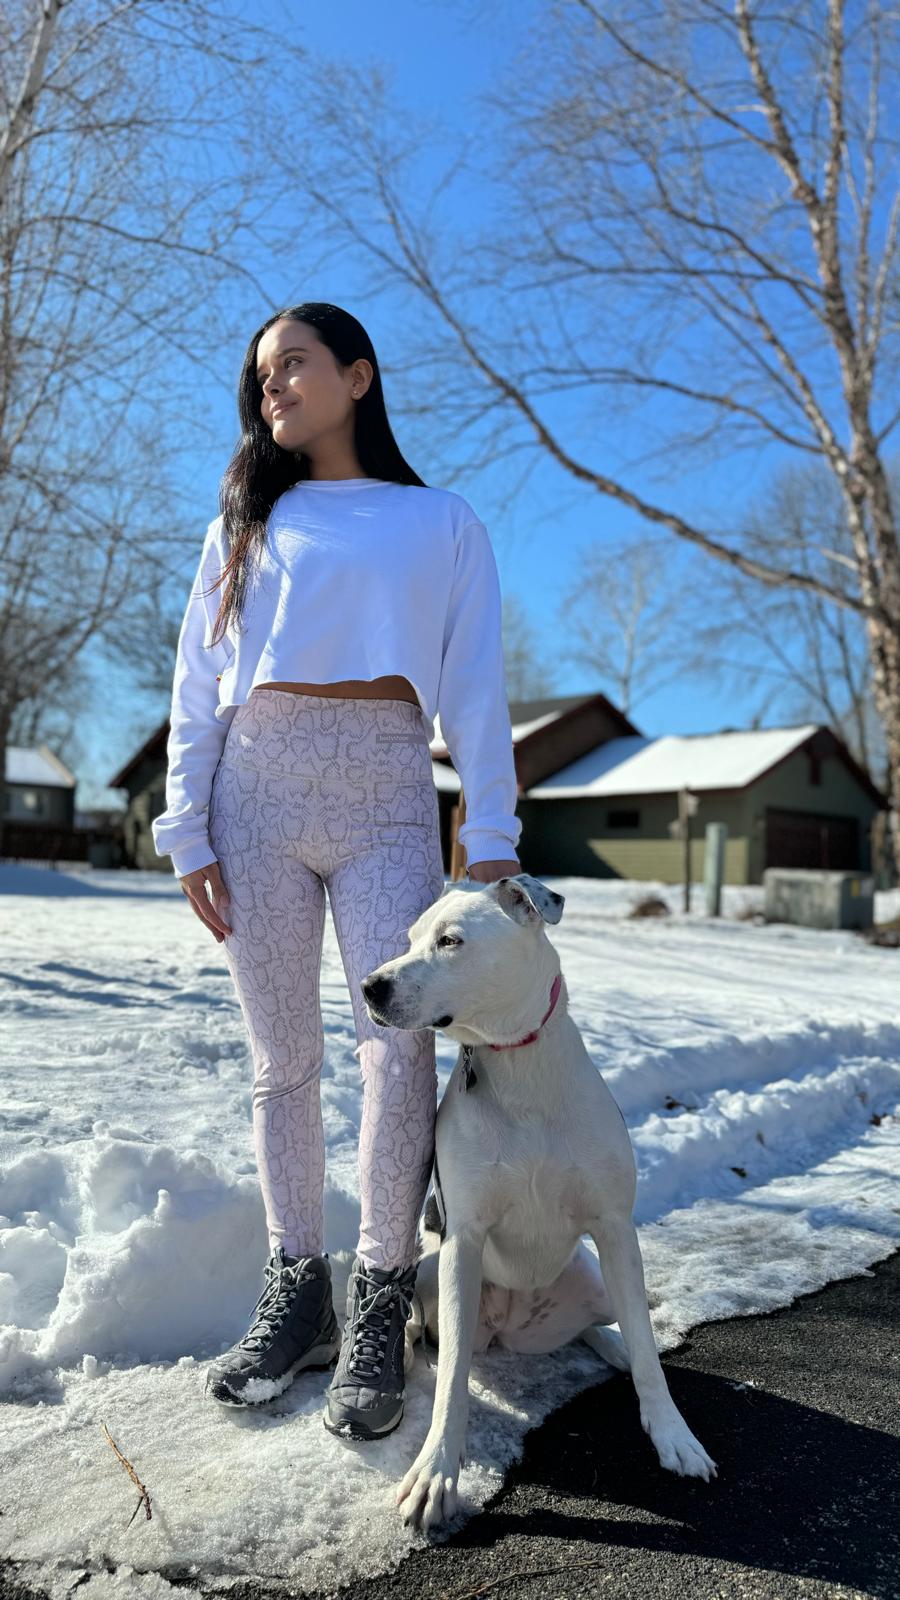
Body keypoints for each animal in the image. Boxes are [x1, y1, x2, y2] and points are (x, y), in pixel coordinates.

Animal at [360, 872, 718, 1532]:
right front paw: (435, 1474)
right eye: (410, 937)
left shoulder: (615, 1228)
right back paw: (410, 1345)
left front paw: (673, 1434)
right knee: (427, 1325)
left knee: (612, 1321)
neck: (517, 1063)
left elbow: (647, 1352)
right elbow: (452, 1380)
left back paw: (616, 1347)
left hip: (592, 1277)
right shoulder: (463, 1241)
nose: (372, 985)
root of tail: (510, 1326)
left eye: (450, 940)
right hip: (433, 1269)